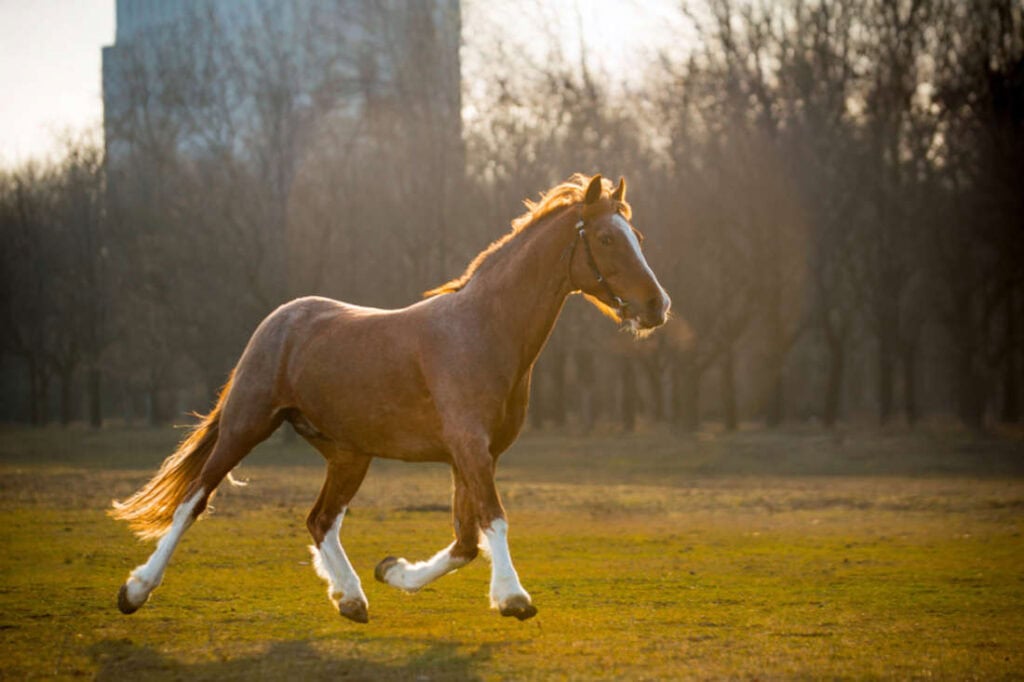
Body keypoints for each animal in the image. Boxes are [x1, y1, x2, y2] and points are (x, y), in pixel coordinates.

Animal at [111, 173, 671, 623]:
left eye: (639, 238)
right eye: (606, 238)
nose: (657, 306)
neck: (482, 332)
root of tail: (279, 320)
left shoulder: (471, 456)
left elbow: (466, 542)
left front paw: (394, 571)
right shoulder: (470, 448)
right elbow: (493, 520)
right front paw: (513, 597)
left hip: (348, 453)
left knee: (320, 520)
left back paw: (351, 598)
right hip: (246, 426)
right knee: (194, 500)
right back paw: (136, 590)